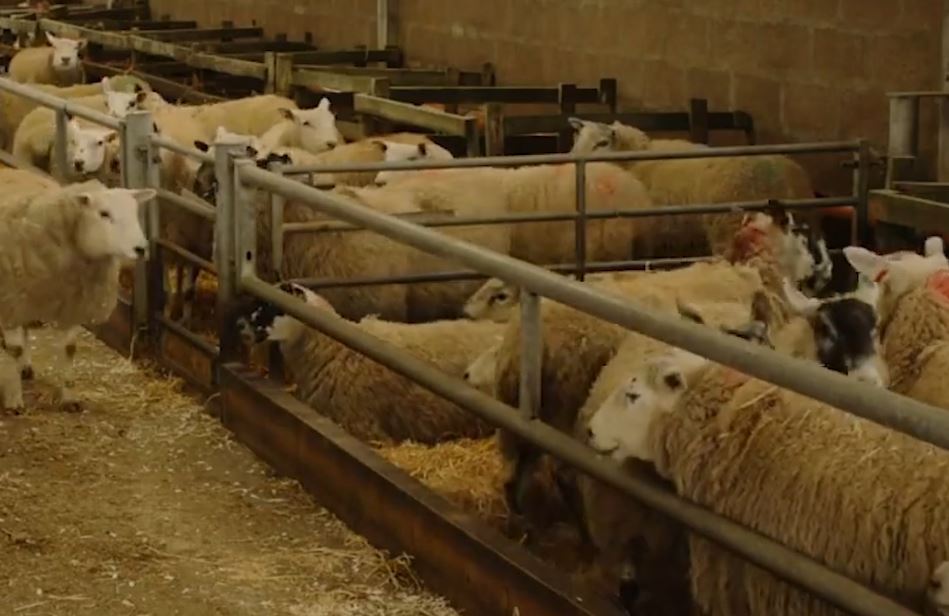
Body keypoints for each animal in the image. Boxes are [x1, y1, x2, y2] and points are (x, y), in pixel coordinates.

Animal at [0, 170, 151, 410]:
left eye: (135, 212)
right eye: (104, 213)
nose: (141, 249)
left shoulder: (73, 303)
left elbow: (69, 348)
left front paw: (69, 398)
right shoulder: (10, 300)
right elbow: (13, 350)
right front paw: (14, 400)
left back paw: (25, 367)